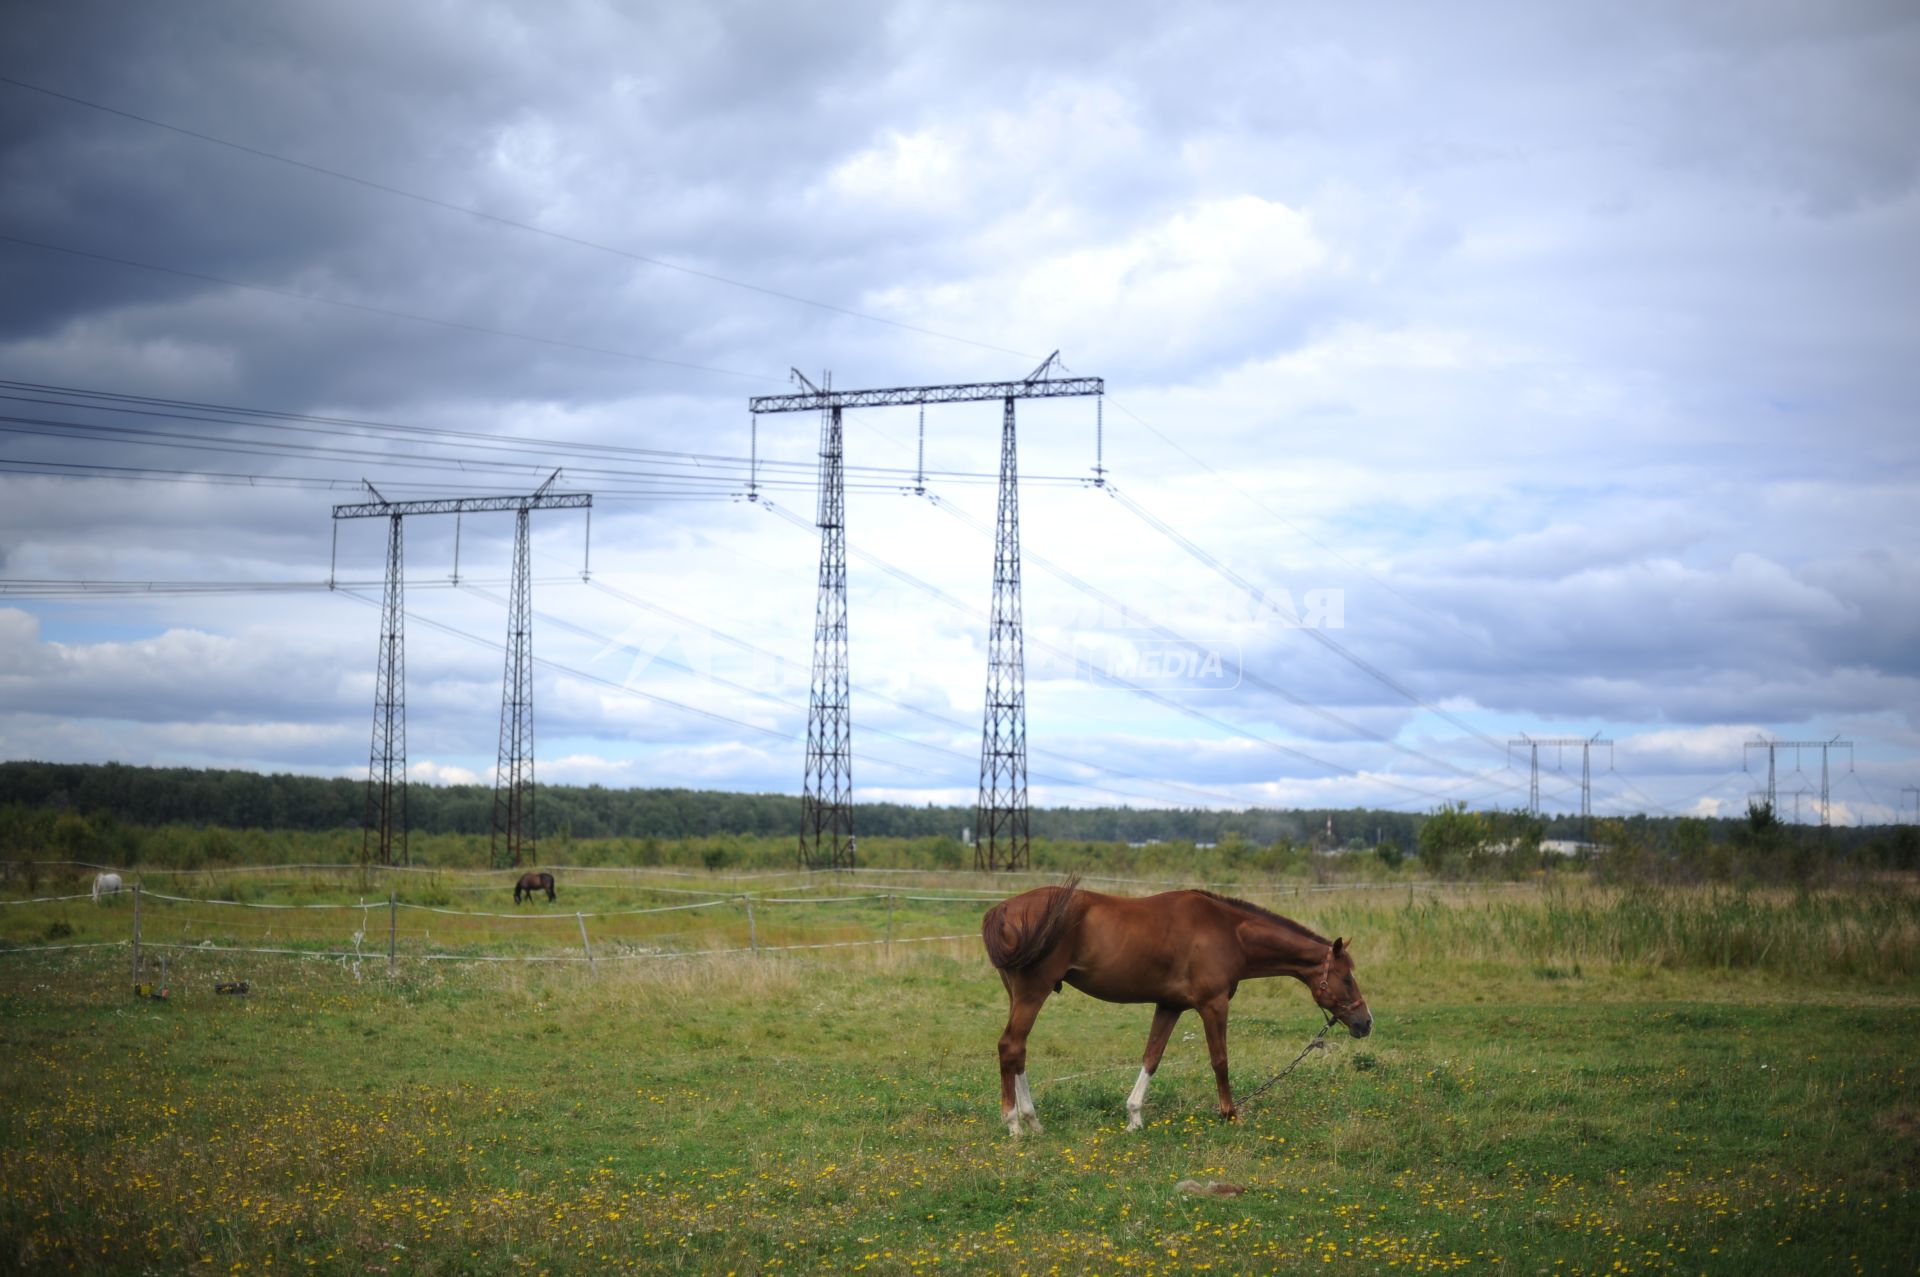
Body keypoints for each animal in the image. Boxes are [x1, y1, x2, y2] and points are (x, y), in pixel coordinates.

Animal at [983, 875, 1374, 1136]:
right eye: (1347, 978)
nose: (1366, 1022)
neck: (1230, 932)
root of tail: (1003, 908)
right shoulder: (1213, 1005)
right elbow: (1220, 1060)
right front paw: (1230, 1114)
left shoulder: (1169, 1006)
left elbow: (1151, 1057)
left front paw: (1134, 1117)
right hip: (1033, 993)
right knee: (1010, 1046)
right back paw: (1014, 1124)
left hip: (1019, 995)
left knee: (1019, 1052)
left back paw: (1033, 1121)